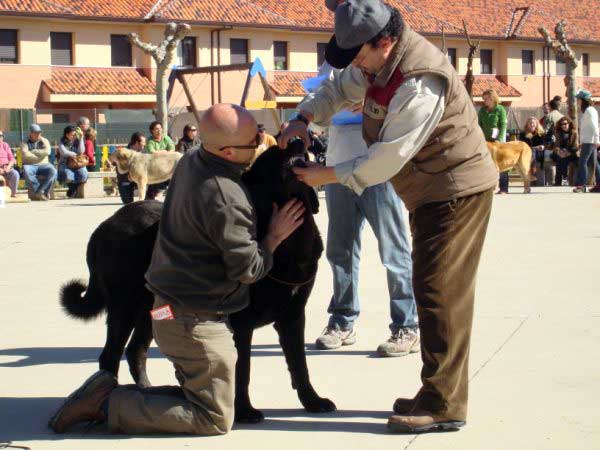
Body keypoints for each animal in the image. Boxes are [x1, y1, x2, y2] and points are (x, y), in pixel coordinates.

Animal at [58, 142, 336, 424]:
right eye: (274, 154)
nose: (297, 141)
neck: (291, 239)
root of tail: (105, 225)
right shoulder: (241, 323)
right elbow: (242, 369)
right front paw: (244, 411)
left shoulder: (293, 316)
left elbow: (300, 364)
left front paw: (313, 401)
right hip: (124, 306)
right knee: (110, 355)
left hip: (150, 311)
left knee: (135, 351)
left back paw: (147, 391)